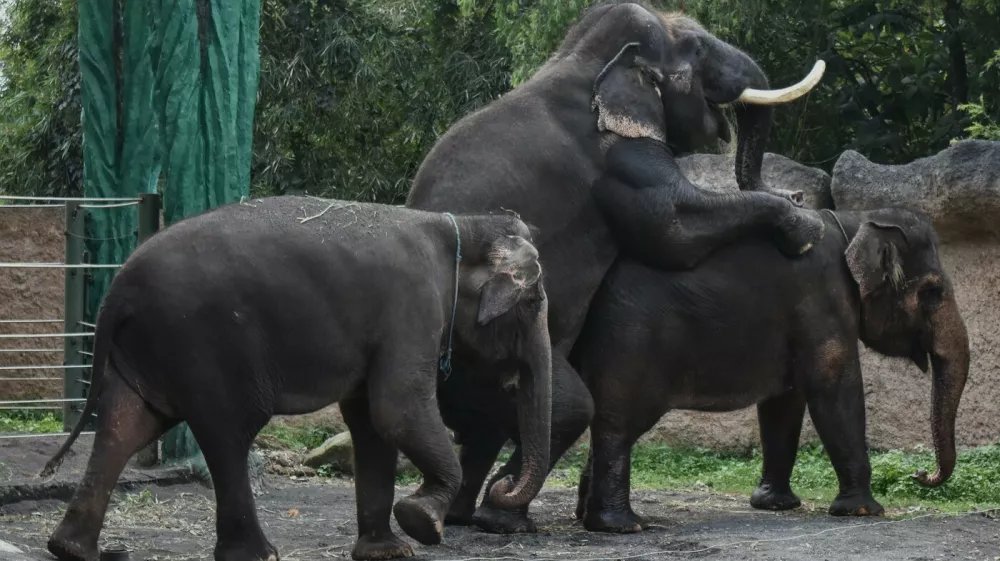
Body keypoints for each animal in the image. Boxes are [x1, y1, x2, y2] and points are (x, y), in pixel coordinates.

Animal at [39, 196, 553, 561]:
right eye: (531, 304)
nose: (505, 486)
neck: (461, 227)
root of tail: (116, 289)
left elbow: (369, 420)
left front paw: (388, 550)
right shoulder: (412, 307)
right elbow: (397, 409)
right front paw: (422, 523)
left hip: (153, 346)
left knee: (127, 425)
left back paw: (70, 549)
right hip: (204, 343)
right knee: (228, 432)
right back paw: (259, 555)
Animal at [405, 0, 826, 533]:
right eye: (698, 50)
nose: (797, 192)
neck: (584, 60)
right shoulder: (618, 153)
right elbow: (672, 223)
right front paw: (806, 227)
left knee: (489, 428)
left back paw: (460, 516)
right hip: (488, 346)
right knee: (566, 408)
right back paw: (502, 518)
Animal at [572, 206, 970, 532]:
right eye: (933, 292)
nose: (920, 473)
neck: (853, 221)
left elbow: (784, 403)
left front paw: (775, 505)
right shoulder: (823, 302)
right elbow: (834, 388)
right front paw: (864, 512)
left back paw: (585, 517)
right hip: (628, 342)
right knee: (617, 426)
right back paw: (622, 526)